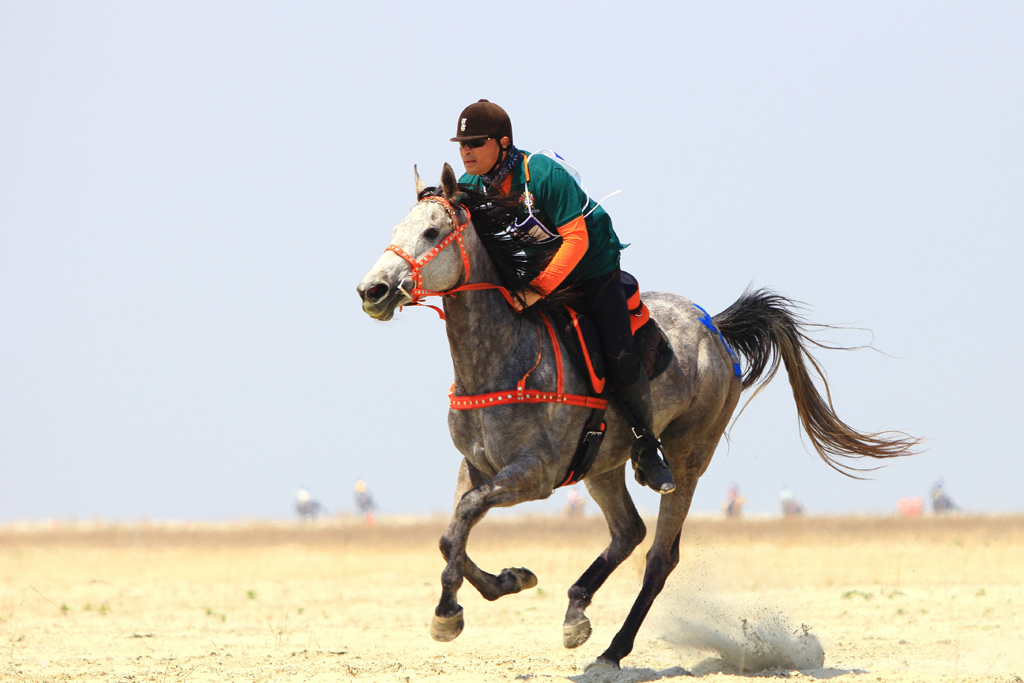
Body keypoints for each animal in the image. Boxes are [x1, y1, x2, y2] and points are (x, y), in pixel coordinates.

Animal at [356, 163, 917, 672]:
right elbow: (452, 530)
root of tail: (714, 327)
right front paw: (509, 580)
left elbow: (467, 514)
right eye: (396, 229)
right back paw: (576, 612)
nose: (372, 291)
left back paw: (613, 650)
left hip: (689, 457)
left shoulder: (533, 476)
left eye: (432, 231)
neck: (501, 361)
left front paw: (448, 613)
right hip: (601, 465)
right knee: (628, 531)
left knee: (659, 556)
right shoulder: (476, 466)